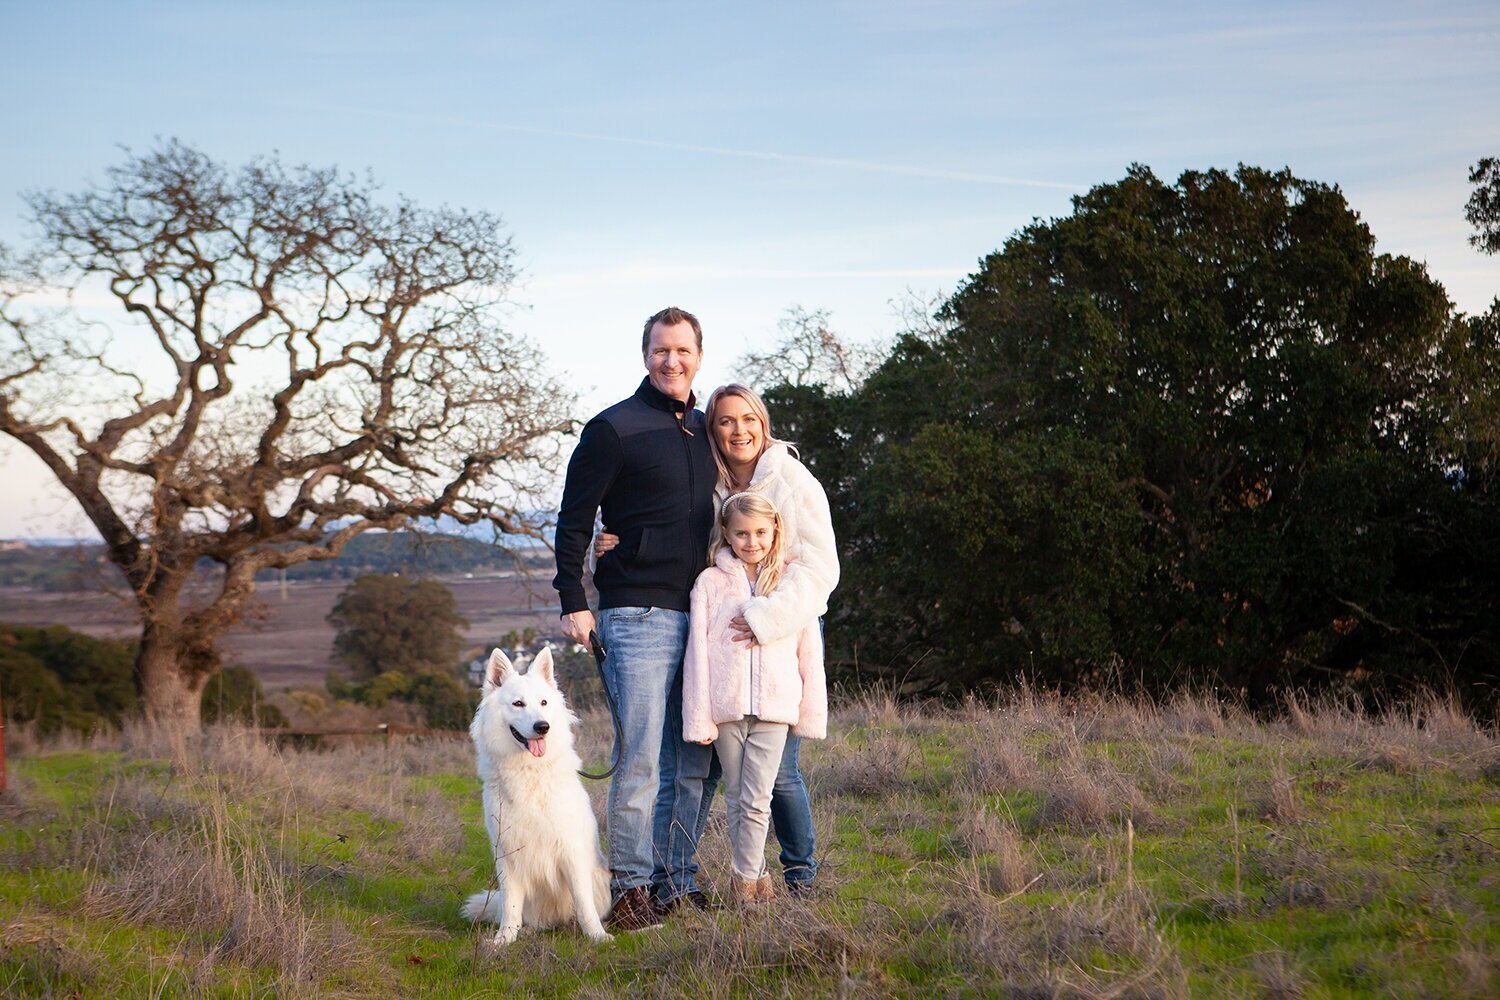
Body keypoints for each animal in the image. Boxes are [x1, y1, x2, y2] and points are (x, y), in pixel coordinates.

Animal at [465, 644, 612, 941]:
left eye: (544, 703)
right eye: (518, 704)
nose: (542, 727)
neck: (529, 771)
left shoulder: (572, 852)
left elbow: (584, 903)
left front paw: (597, 936)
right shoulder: (507, 855)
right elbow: (511, 907)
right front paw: (504, 940)